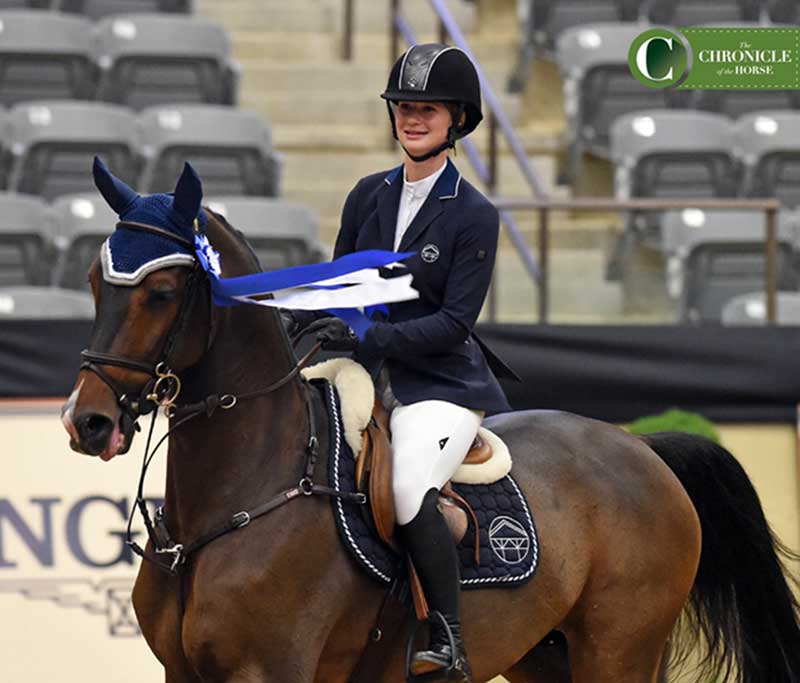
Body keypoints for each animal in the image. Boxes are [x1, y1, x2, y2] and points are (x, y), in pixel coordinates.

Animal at [61, 162, 800, 683]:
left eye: (162, 292)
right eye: (96, 282)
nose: (86, 422)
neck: (239, 501)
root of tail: (642, 448)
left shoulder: (270, 670)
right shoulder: (182, 671)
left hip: (619, 649)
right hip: (544, 654)